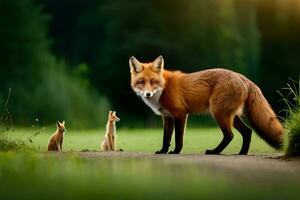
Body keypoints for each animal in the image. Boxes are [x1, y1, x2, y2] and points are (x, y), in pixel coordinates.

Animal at [129, 55, 284, 155]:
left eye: (153, 81)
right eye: (141, 82)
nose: (147, 94)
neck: (164, 88)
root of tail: (243, 77)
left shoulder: (180, 114)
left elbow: (178, 138)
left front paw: (175, 152)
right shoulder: (167, 117)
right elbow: (166, 138)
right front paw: (163, 151)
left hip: (218, 113)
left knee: (229, 135)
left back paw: (214, 152)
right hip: (230, 116)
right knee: (247, 132)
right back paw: (242, 153)